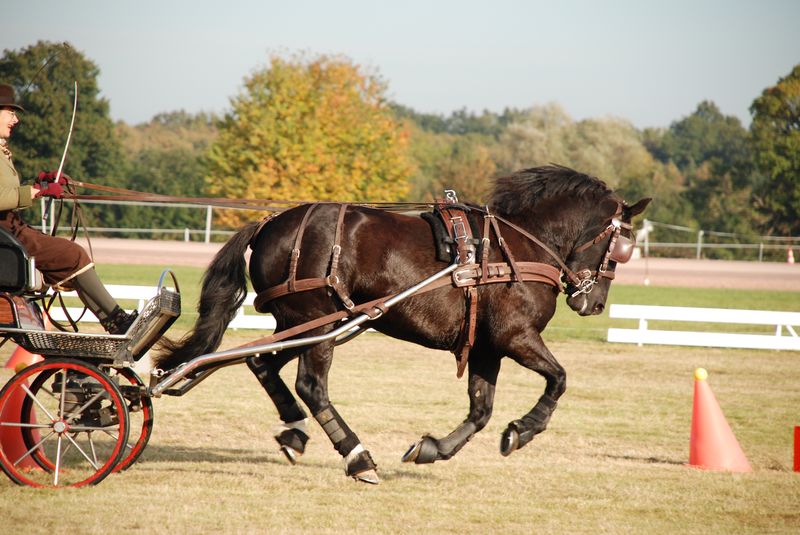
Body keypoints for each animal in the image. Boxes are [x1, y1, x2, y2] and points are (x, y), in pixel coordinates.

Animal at [156, 165, 648, 484]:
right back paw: (358, 457)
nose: (594, 303)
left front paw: (432, 449)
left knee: (262, 365)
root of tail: (269, 223)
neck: (521, 245)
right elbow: (559, 379)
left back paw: (295, 431)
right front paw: (523, 430)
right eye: (621, 247)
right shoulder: (516, 337)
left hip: (307, 323)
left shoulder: (487, 346)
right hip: (317, 323)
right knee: (311, 386)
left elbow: (481, 411)